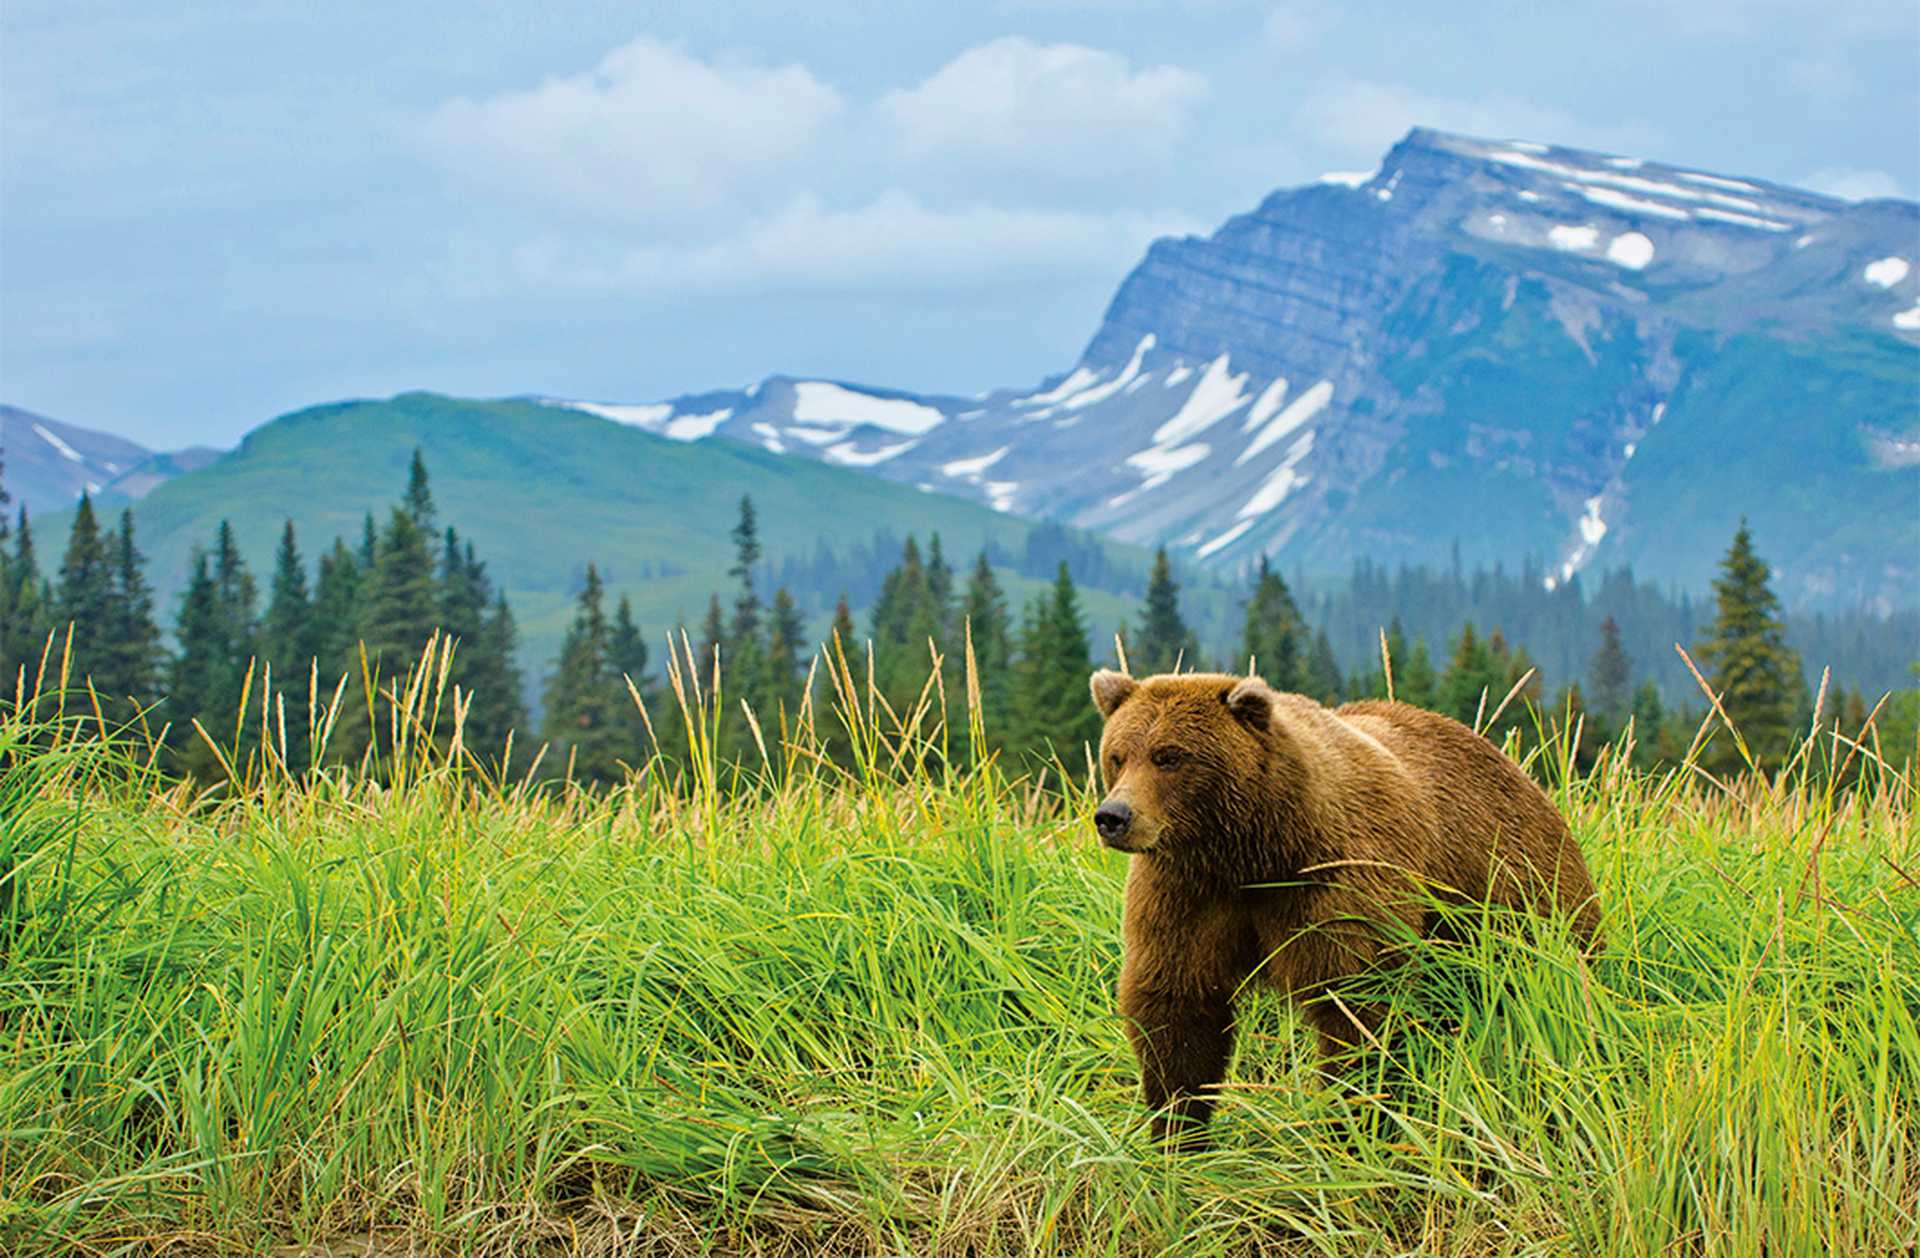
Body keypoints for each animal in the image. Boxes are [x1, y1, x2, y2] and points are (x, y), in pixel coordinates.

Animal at [1088, 668, 1601, 1146]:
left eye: (1170, 756)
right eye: (1118, 755)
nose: (1113, 816)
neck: (1255, 853)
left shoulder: (1339, 884)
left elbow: (1357, 1005)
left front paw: (1350, 1123)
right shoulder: (1186, 893)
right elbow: (1177, 1005)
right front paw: (1177, 1132)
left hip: (1516, 897)